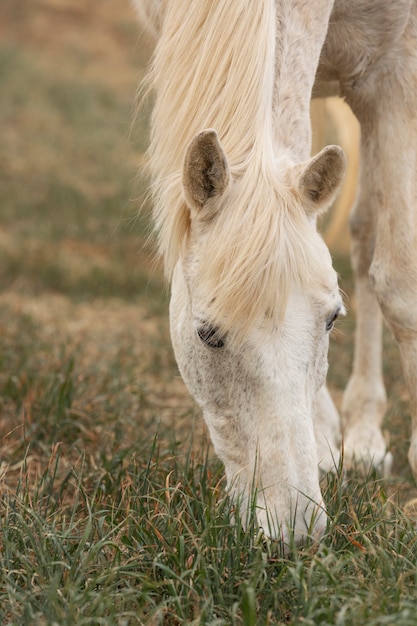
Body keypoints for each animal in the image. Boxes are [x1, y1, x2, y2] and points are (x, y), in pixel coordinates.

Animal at [135, 1, 416, 544]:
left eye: (332, 319)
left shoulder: (396, 72)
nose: (297, 529)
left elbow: (400, 283)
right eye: (207, 335)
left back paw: (365, 435)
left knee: (366, 231)